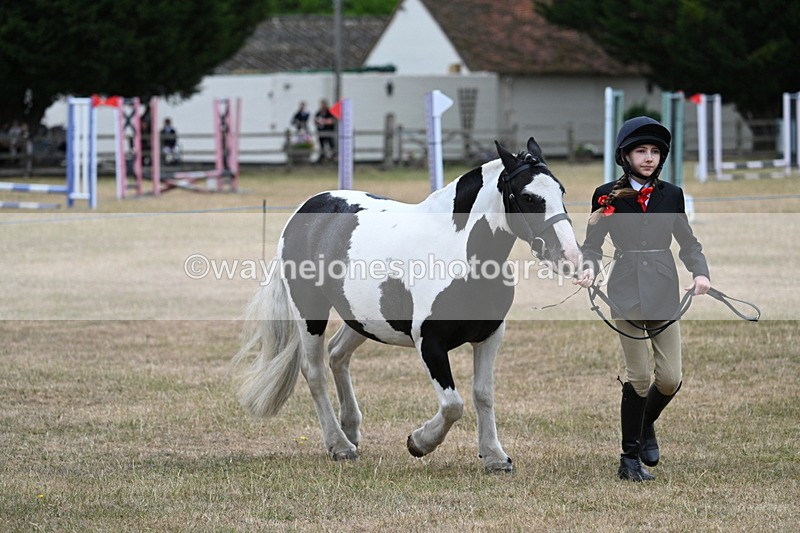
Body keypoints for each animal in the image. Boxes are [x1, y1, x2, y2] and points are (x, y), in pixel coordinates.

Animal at [232, 137, 581, 472]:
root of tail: (307, 210)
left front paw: (494, 457)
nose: (570, 256)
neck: (460, 254)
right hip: (310, 311)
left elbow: (483, 395)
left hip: (362, 319)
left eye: (562, 191)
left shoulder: (490, 335)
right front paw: (420, 442)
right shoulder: (430, 343)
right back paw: (339, 445)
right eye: (528, 197)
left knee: (337, 355)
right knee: (314, 370)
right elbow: (453, 405)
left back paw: (351, 430)